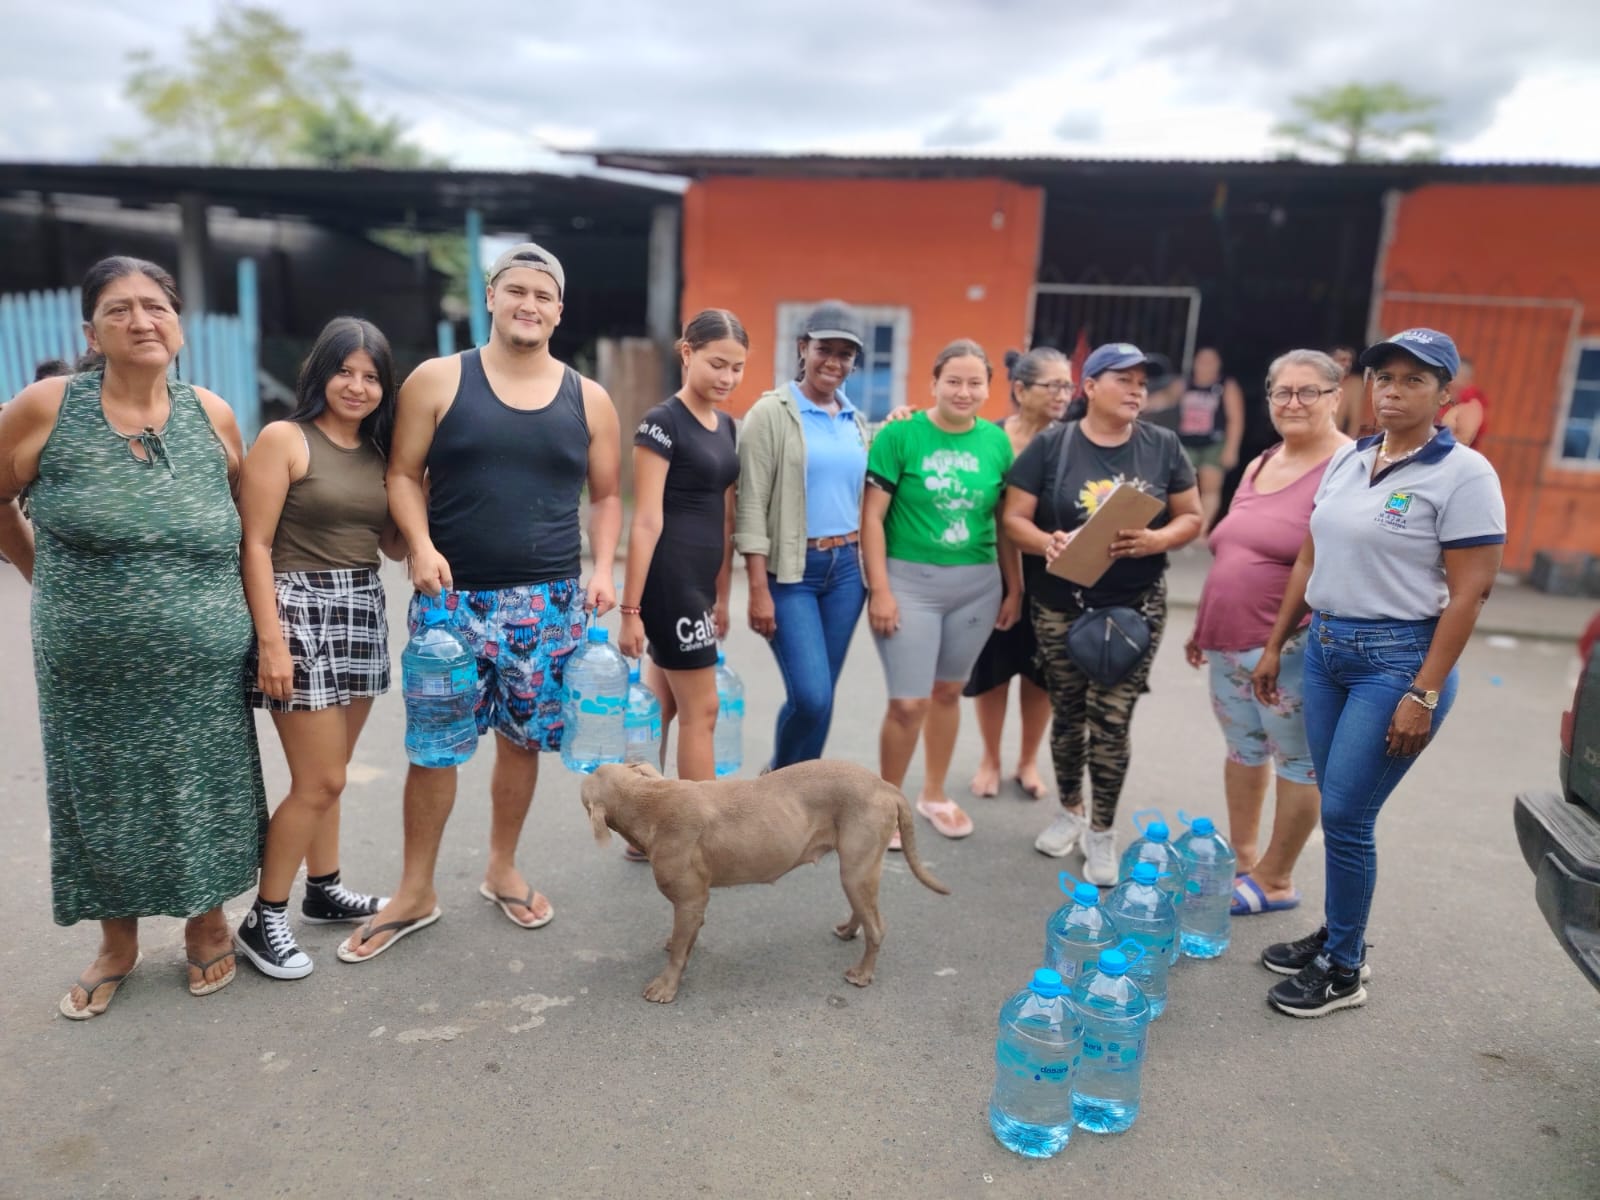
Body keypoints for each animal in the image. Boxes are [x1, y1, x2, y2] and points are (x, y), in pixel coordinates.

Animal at [580, 759, 949, 1003]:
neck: (647, 799)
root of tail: (883, 784)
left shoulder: (689, 900)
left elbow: (679, 954)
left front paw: (666, 986)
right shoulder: (695, 903)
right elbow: (686, 938)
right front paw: (681, 945)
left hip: (857, 868)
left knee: (877, 927)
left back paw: (862, 974)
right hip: (857, 869)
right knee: (864, 908)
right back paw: (848, 930)